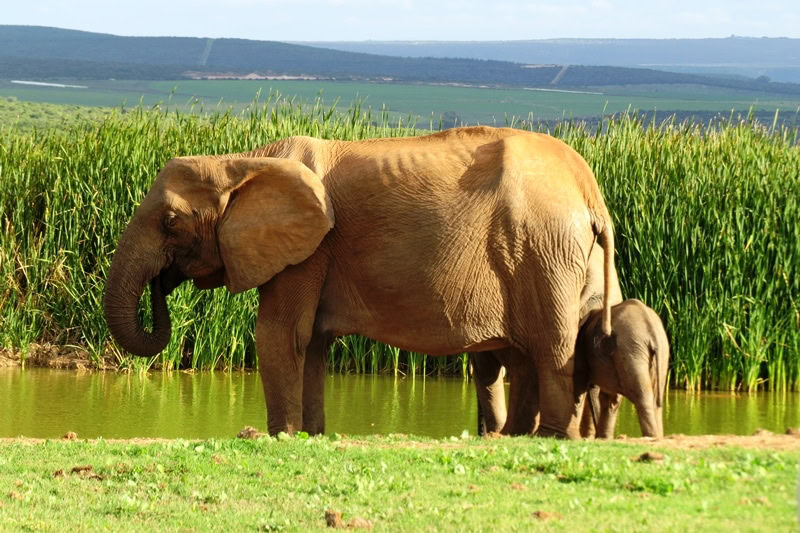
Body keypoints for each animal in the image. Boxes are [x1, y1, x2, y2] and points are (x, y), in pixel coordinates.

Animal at [103, 127, 616, 438]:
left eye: (170, 222)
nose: (162, 284)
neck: (241, 161)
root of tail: (590, 188)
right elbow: (310, 343)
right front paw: (310, 435)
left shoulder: (309, 249)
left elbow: (279, 335)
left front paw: (278, 436)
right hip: (571, 257)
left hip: (544, 248)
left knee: (551, 348)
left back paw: (551, 438)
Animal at [580, 298, 672, 438]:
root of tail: (650, 328)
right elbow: (611, 398)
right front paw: (604, 438)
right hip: (659, 350)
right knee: (656, 398)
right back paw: (657, 436)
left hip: (631, 349)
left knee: (643, 397)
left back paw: (651, 437)